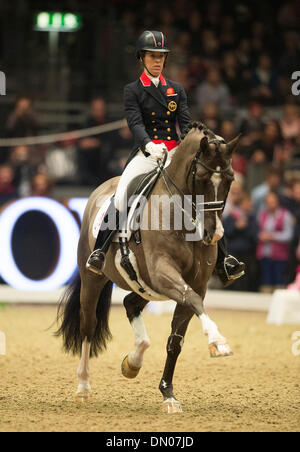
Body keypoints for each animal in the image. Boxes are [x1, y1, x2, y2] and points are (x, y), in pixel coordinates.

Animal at [56, 122, 239, 412]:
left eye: (230, 179)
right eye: (200, 177)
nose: (214, 234)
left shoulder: (194, 282)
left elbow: (176, 341)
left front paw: (168, 395)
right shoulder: (164, 271)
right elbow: (193, 300)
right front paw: (217, 341)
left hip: (147, 286)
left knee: (130, 303)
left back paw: (133, 362)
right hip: (93, 279)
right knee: (88, 326)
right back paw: (83, 387)